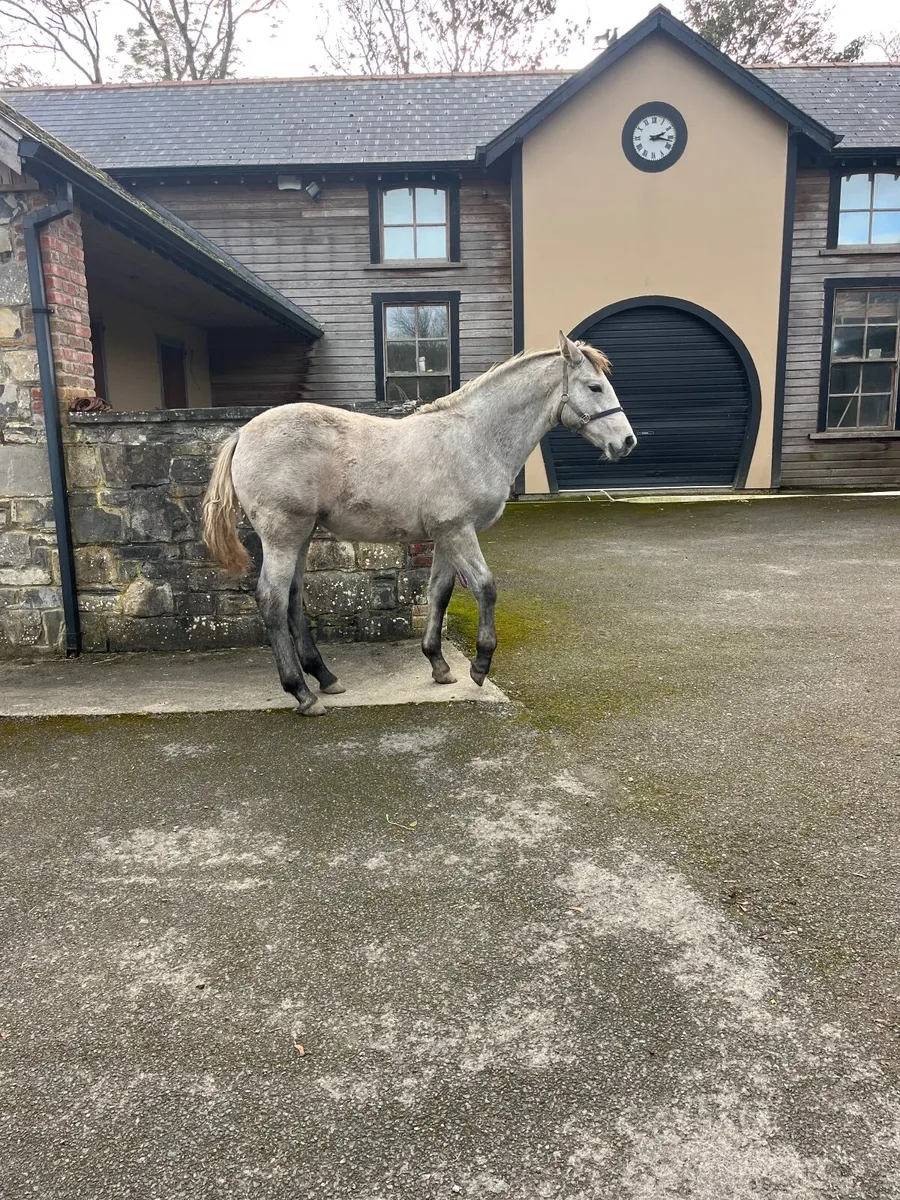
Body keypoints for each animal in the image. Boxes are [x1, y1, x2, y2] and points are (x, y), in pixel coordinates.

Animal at [202, 331, 636, 716]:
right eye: (595, 387)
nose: (627, 442)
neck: (473, 438)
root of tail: (241, 433)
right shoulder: (459, 531)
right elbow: (485, 587)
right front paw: (480, 665)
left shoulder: (446, 535)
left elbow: (440, 592)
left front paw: (439, 665)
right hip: (284, 535)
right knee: (272, 599)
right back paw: (302, 694)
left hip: (303, 535)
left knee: (292, 597)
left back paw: (325, 677)